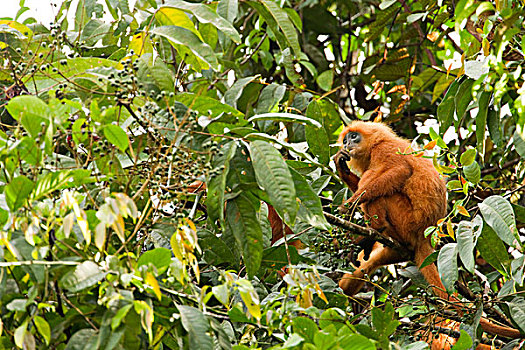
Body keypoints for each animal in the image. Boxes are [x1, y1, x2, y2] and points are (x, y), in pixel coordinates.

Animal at [334, 120, 520, 348]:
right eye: (345, 139)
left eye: (353, 137)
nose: (347, 143)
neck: (375, 144)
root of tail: (424, 237)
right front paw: (341, 168)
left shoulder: (383, 149)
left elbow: (400, 171)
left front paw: (350, 204)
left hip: (405, 221)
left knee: (380, 192)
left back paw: (375, 231)